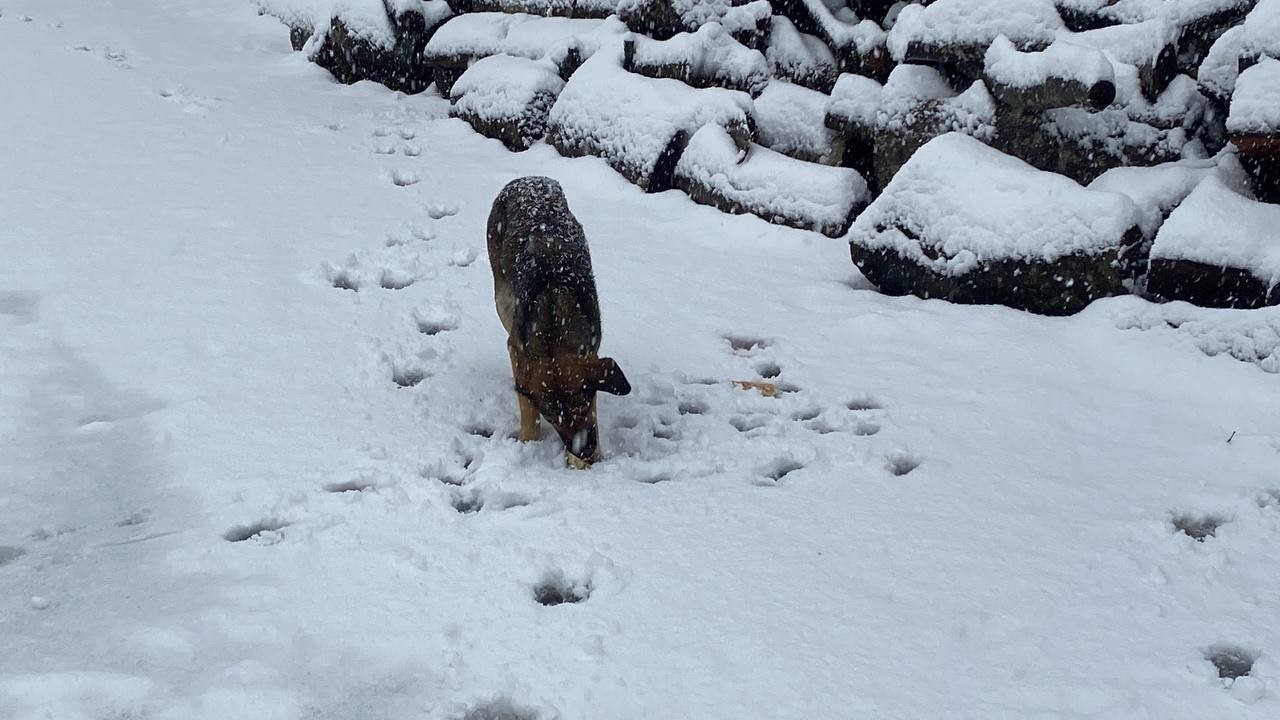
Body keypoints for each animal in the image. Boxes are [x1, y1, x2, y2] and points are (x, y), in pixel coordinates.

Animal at [486, 176, 632, 468]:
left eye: (584, 402)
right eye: (551, 416)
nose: (584, 450)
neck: (554, 330)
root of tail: (529, 179)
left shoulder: (591, 353)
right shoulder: (519, 350)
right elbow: (526, 404)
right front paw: (528, 441)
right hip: (501, 298)